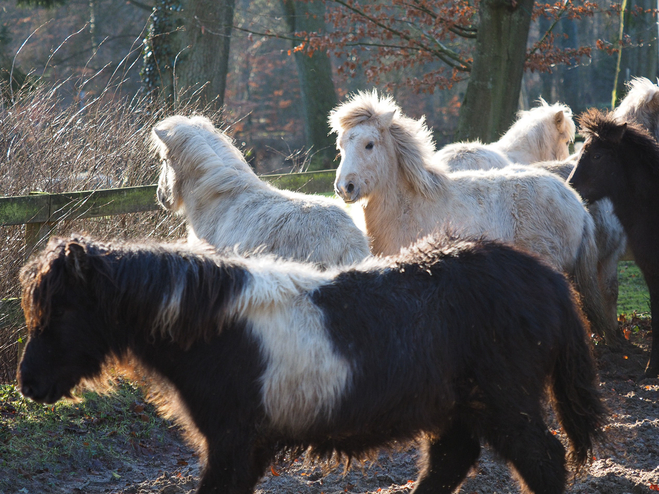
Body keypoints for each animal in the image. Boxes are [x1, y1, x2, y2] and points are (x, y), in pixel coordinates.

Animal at [20, 234, 604, 494]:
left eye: (62, 311)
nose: (28, 384)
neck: (215, 330)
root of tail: (551, 280)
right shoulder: (246, 446)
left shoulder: (233, 440)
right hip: (461, 406)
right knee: (450, 460)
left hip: (506, 401)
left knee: (543, 460)